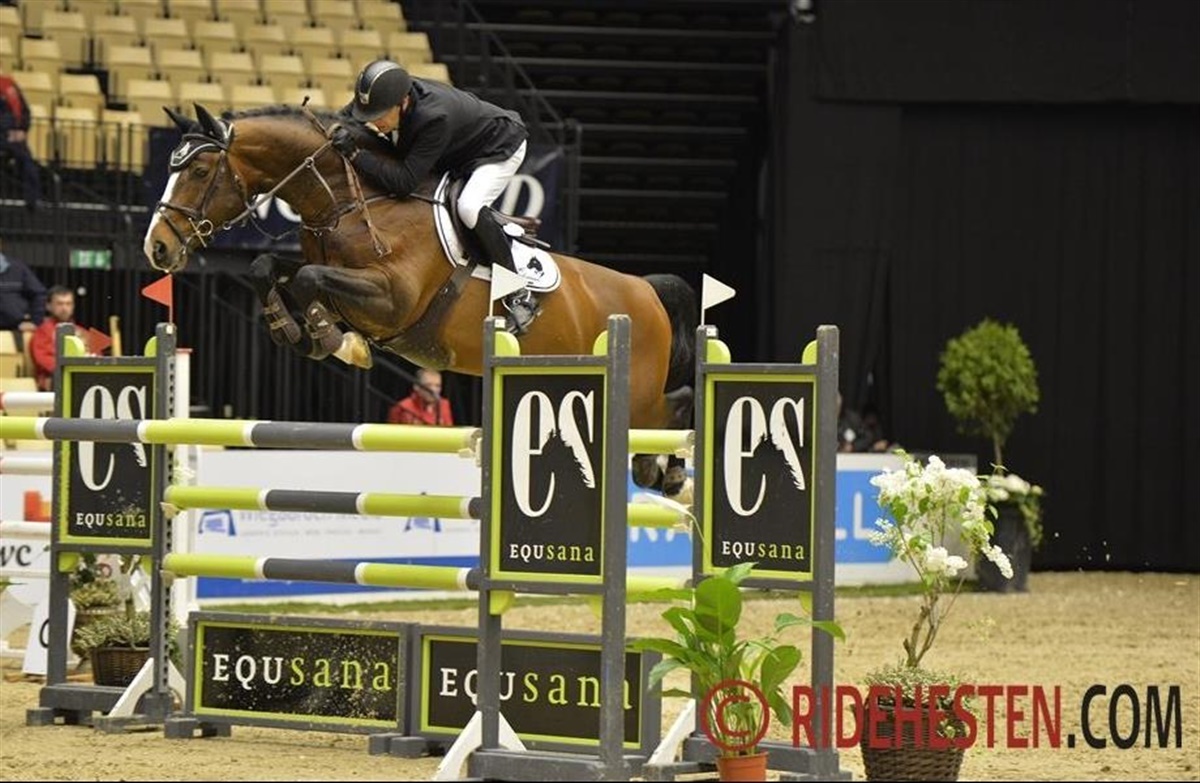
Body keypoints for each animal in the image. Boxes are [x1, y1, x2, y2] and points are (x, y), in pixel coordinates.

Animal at [142, 103, 695, 498]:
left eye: (198, 172)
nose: (158, 248)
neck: (348, 201)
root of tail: (647, 290)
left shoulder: (392, 299)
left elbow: (311, 282)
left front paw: (335, 340)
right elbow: (268, 268)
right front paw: (293, 329)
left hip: (637, 394)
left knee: (678, 406)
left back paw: (671, 473)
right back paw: (659, 472)